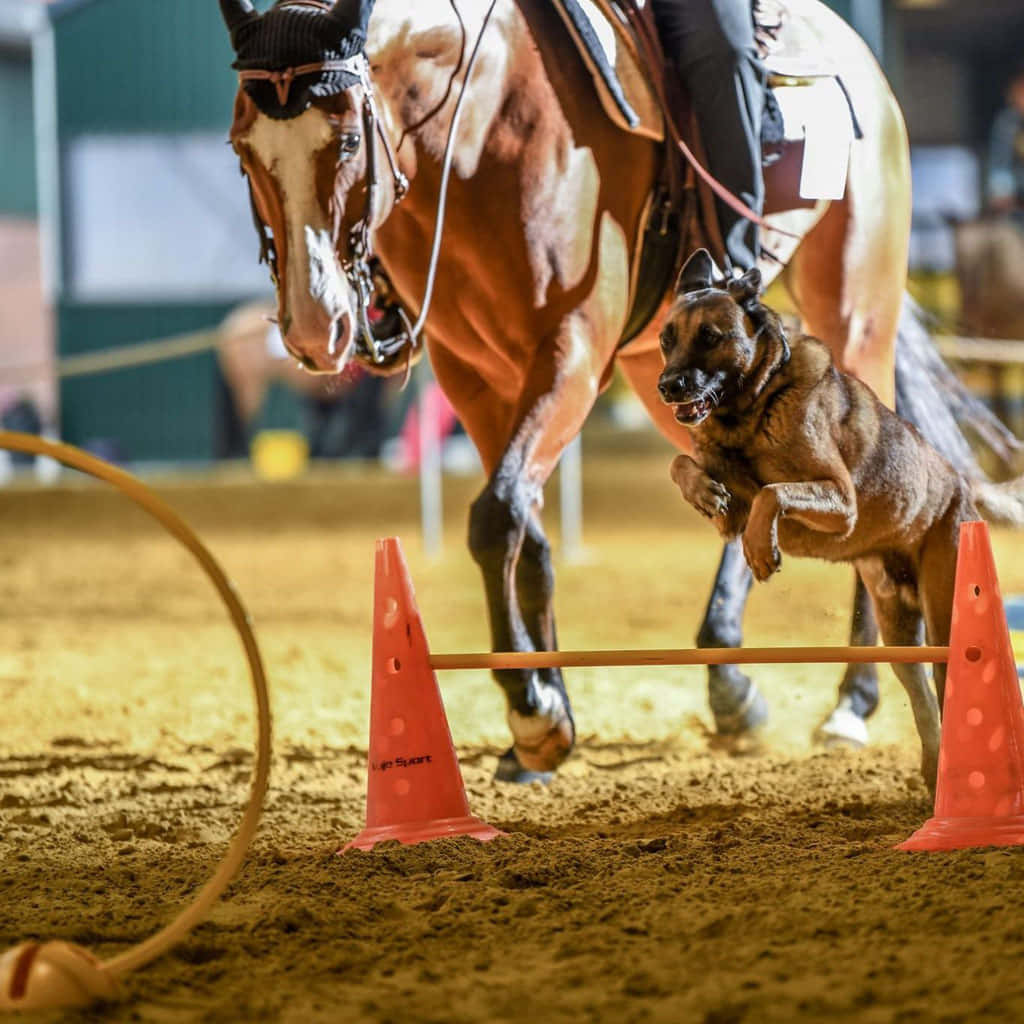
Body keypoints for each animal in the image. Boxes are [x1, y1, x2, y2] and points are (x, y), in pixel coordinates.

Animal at [655, 249, 983, 790]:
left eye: (710, 336)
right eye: (666, 338)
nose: (667, 386)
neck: (754, 407)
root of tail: (964, 494)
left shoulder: (841, 502)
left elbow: (772, 493)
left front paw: (760, 550)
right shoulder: (730, 508)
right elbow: (683, 466)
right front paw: (704, 491)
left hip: (944, 621)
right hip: (899, 639)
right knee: (924, 706)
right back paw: (933, 773)